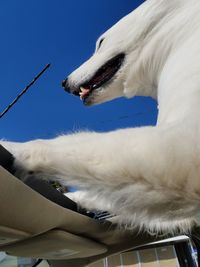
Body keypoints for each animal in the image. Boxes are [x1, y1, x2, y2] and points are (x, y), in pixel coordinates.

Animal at [2, 0, 200, 233]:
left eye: (101, 42)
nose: (63, 82)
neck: (179, 38)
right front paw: (74, 198)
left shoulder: (178, 146)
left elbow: (67, 144)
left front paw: (13, 146)